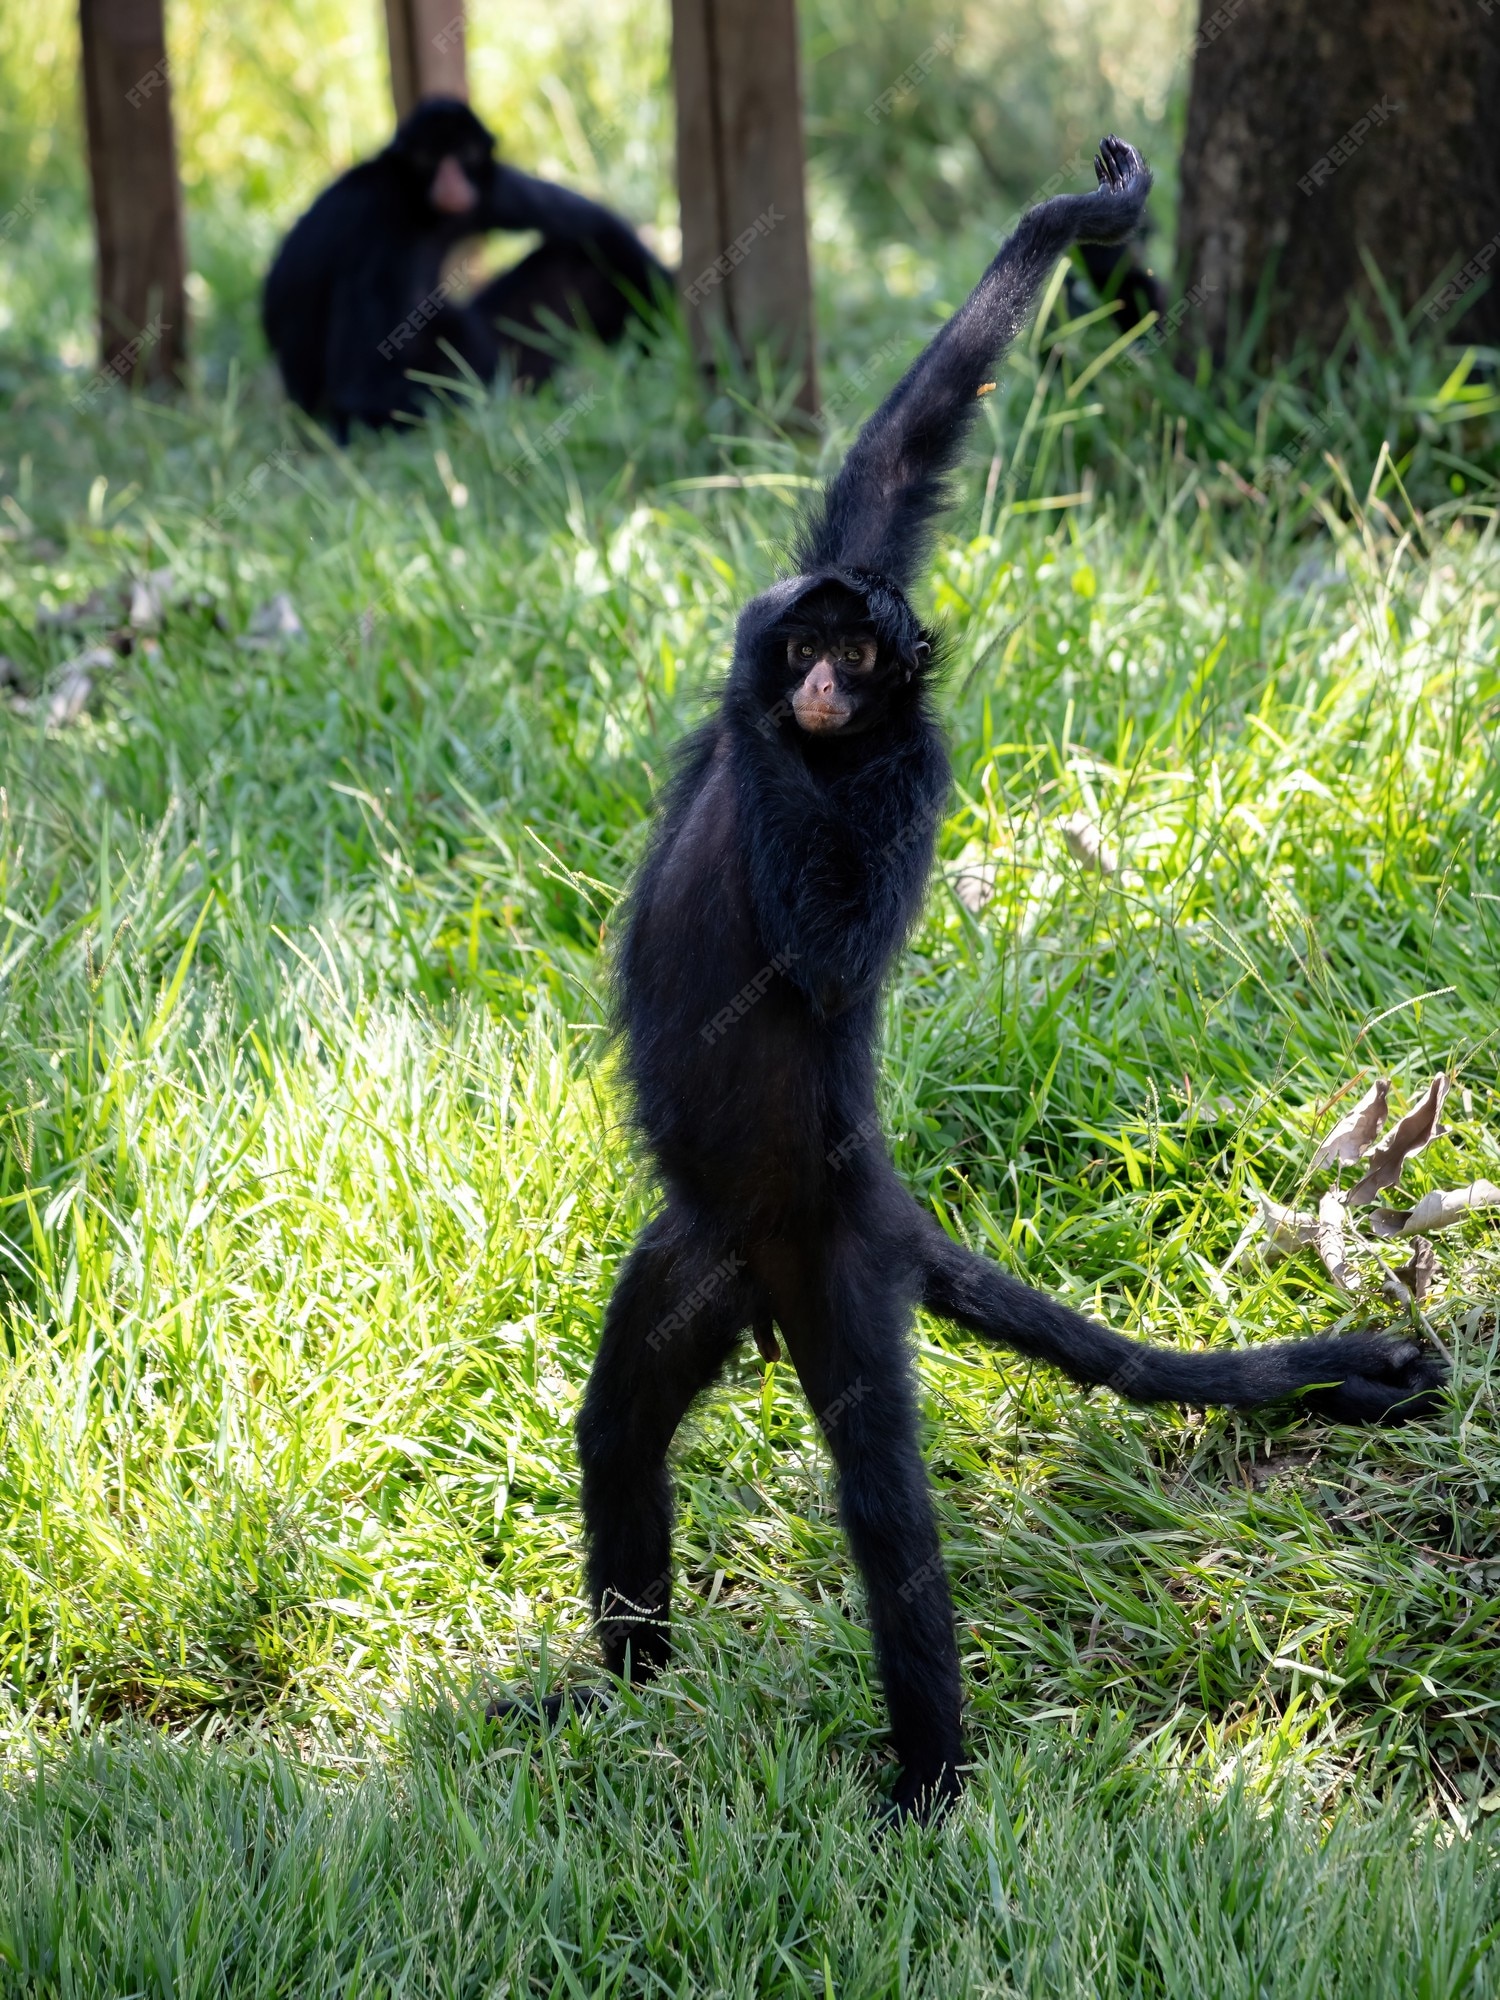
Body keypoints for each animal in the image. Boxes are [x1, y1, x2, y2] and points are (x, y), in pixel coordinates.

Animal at [264, 95, 668, 436]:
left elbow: (595, 225)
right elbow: (359, 386)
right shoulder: (373, 226)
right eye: (428, 157)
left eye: (466, 154)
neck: (421, 214)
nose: (452, 180)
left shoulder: (488, 190)